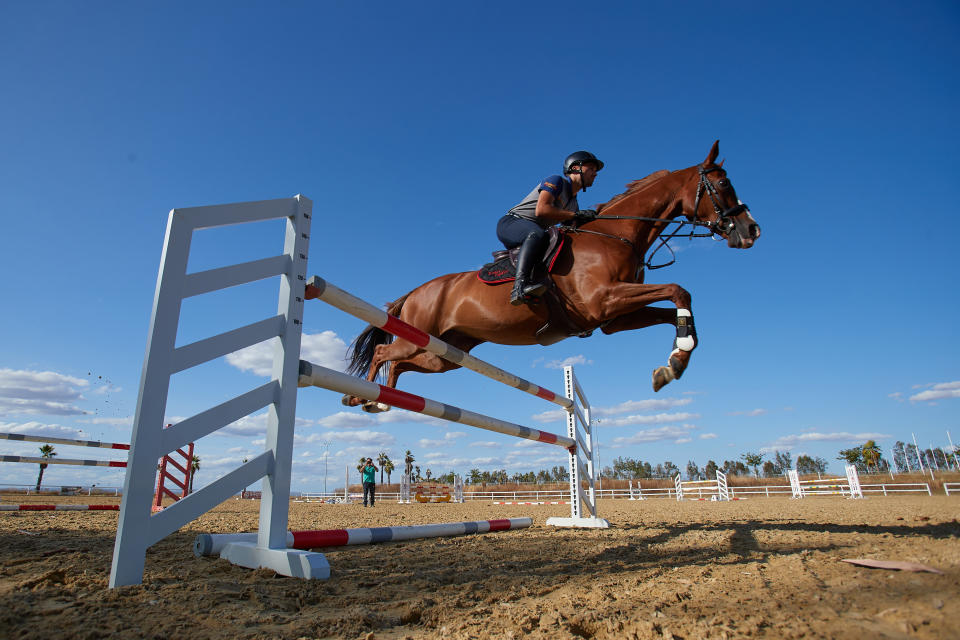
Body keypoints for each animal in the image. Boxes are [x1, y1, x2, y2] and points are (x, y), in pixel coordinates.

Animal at [344, 140, 756, 412]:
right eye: (723, 184)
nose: (751, 230)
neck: (617, 234)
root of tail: (414, 293)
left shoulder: (614, 317)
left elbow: (675, 307)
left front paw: (673, 365)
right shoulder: (605, 300)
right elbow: (679, 289)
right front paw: (678, 356)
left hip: (445, 354)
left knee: (400, 364)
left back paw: (380, 401)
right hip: (418, 337)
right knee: (384, 352)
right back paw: (362, 395)